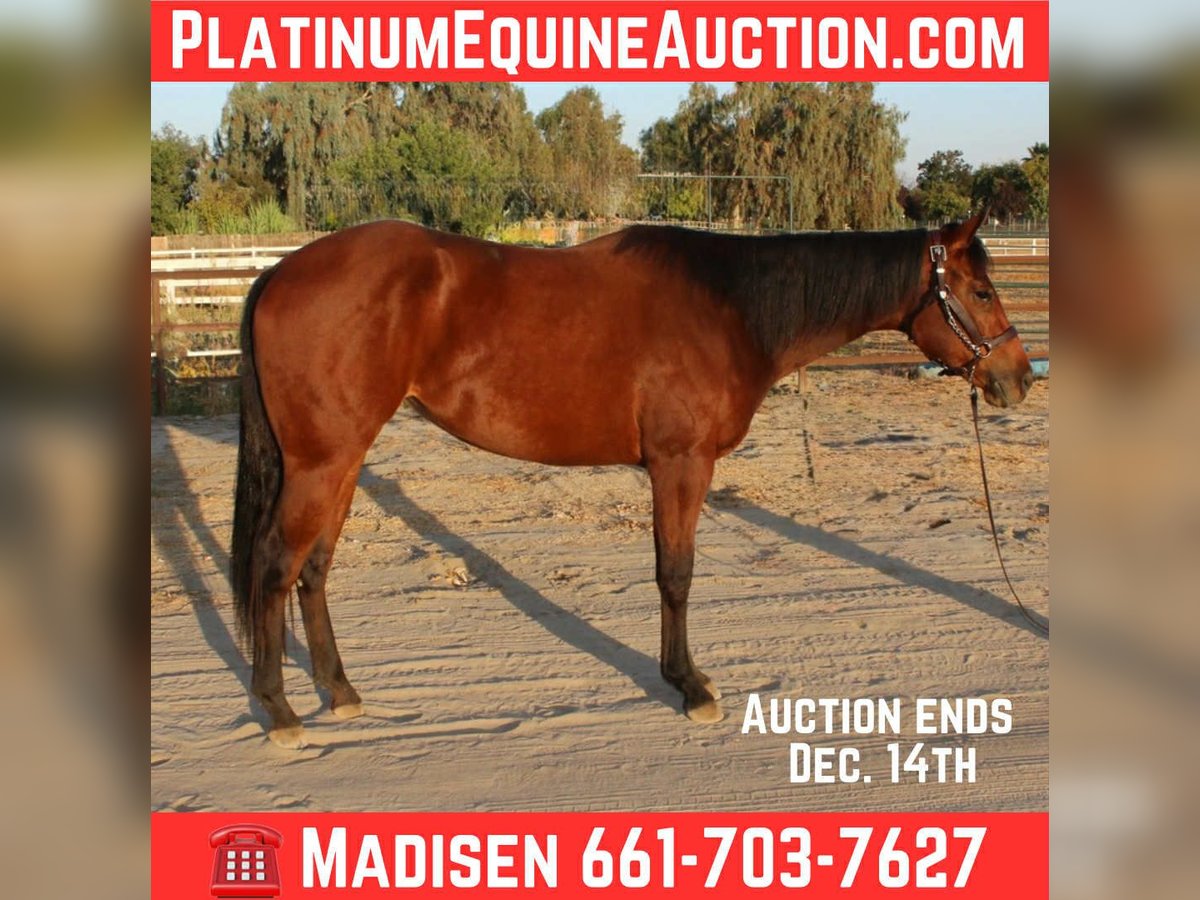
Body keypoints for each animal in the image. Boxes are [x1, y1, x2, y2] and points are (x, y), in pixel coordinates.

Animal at [230, 207, 1032, 748]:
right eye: (981, 292)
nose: (1018, 379)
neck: (729, 306)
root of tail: (278, 272)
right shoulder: (681, 464)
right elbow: (675, 573)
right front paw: (690, 685)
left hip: (343, 461)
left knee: (313, 569)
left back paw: (340, 691)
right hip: (321, 463)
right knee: (273, 566)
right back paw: (279, 710)